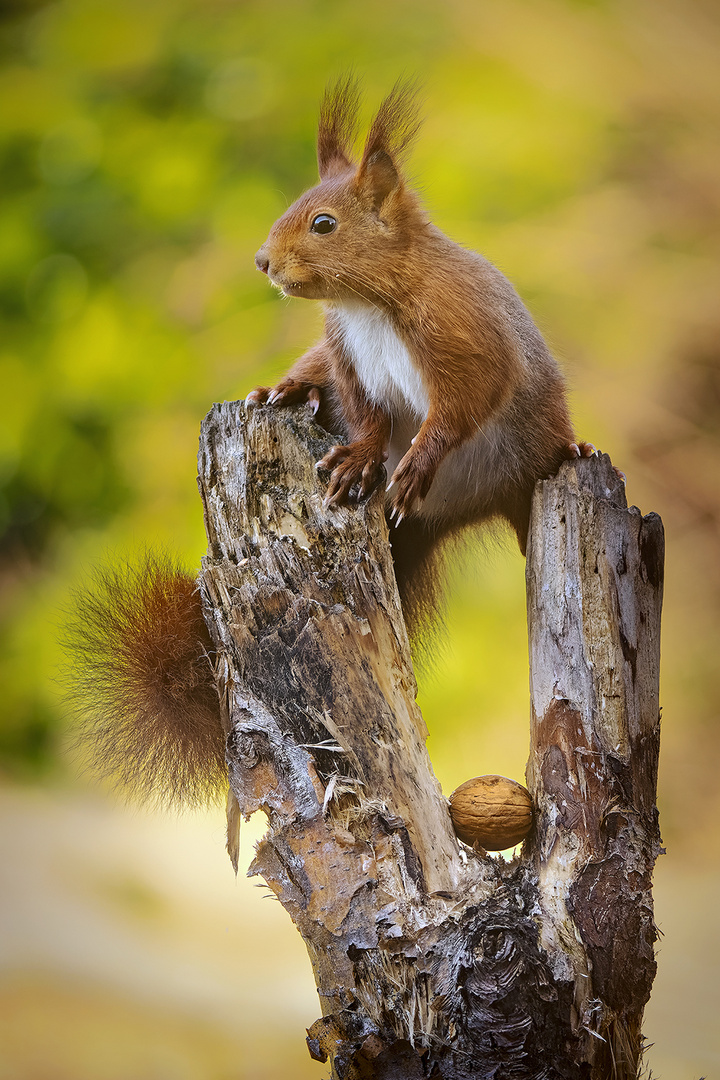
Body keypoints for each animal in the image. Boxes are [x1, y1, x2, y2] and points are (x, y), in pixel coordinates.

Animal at [71, 79, 591, 807]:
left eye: (324, 224)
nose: (263, 261)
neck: (369, 303)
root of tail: (448, 514)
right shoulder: (348, 358)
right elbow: (366, 414)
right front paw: (356, 458)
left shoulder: (465, 339)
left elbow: (460, 408)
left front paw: (413, 464)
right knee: (315, 379)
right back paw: (285, 394)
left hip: (526, 465)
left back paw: (563, 457)